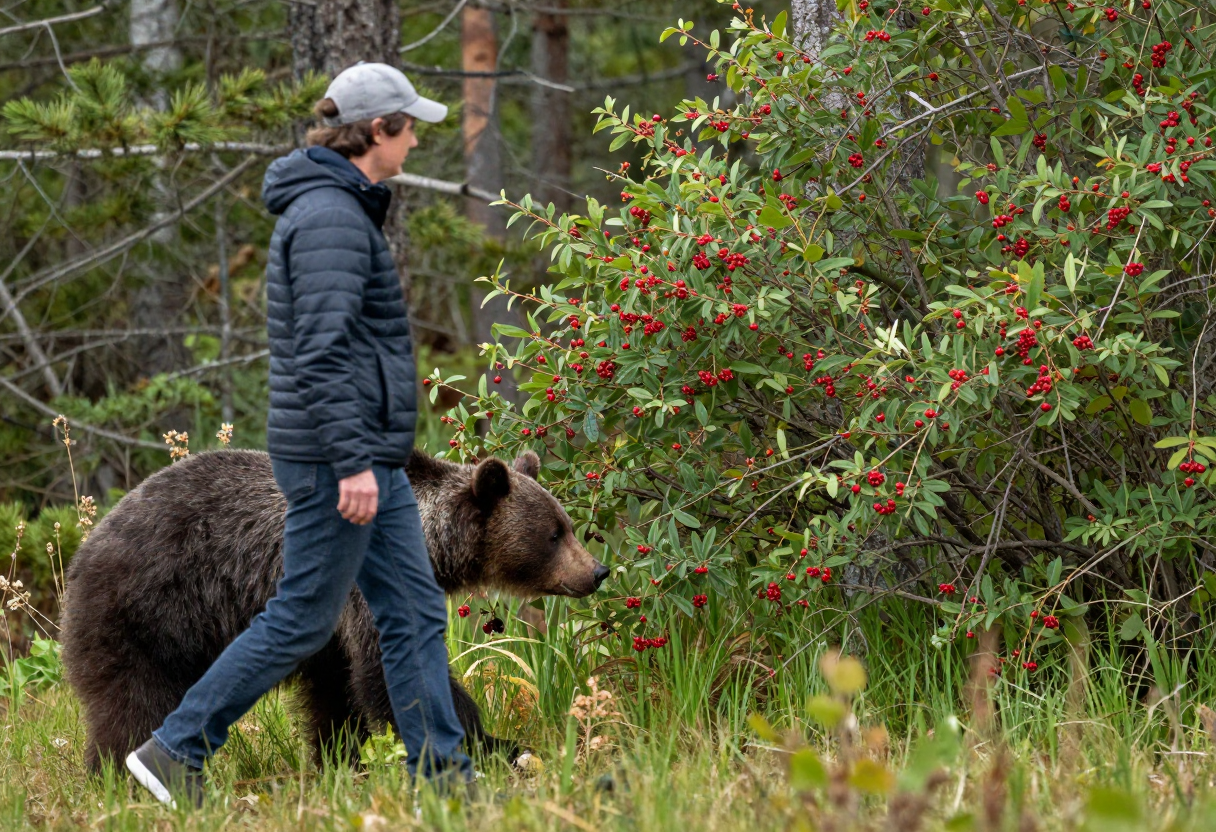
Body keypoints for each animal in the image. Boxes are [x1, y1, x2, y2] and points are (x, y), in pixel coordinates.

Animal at [60, 448, 608, 771]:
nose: (597, 571)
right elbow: (390, 669)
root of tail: (84, 548)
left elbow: (337, 691)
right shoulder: (367, 586)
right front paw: (495, 745)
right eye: (553, 534)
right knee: (133, 699)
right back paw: (122, 773)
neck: (431, 541)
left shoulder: (336, 631)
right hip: (151, 610)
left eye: (566, 525)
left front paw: (343, 760)